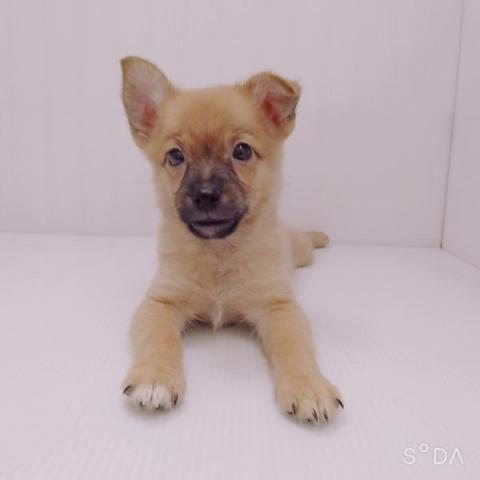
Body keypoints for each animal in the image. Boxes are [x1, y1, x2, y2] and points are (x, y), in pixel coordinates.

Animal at [120, 56, 343, 424]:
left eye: (242, 151)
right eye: (175, 156)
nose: (206, 195)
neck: (219, 252)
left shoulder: (279, 307)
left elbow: (294, 346)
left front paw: (307, 386)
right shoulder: (160, 303)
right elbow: (158, 339)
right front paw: (155, 378)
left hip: (300, 252)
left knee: (306, 242)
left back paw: (320, 235)